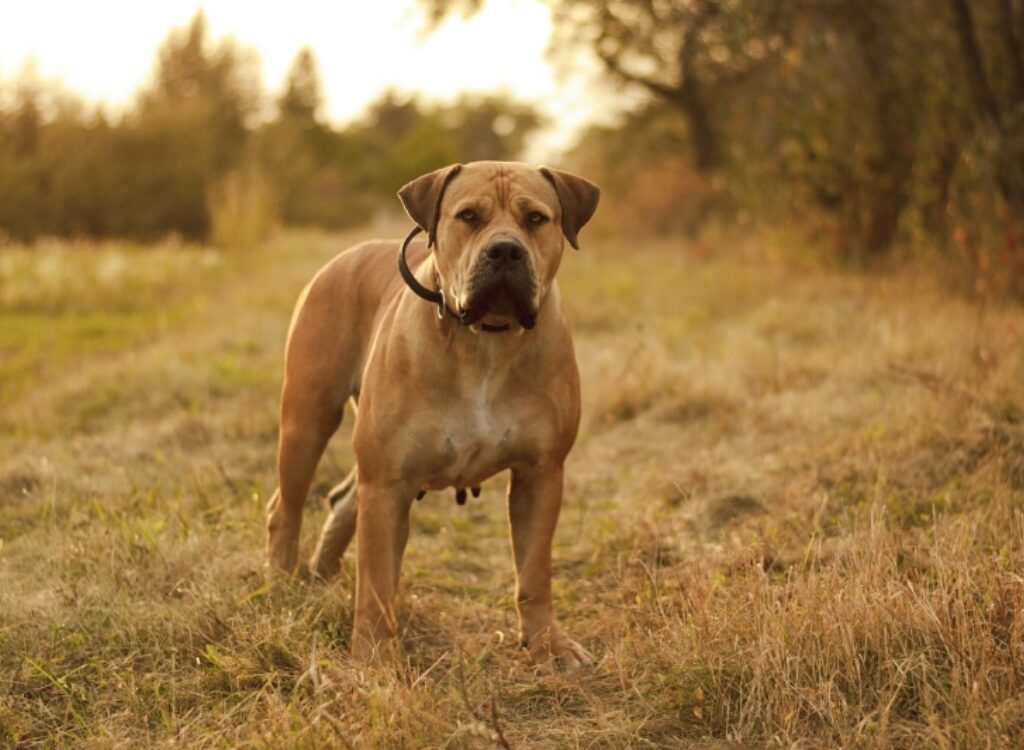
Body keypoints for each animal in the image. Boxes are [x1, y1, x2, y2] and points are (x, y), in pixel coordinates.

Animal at [264, 159, 598, 668]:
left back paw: (323, 579)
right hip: (309, 420)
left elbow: (534, 572)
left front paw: (548, 645)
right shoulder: (388, 483)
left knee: (342, 501)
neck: (487, 339)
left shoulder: (540, 474)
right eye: (469, 216)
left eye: (536, 219)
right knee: (286, 508)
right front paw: (374, 659)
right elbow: (377, 581)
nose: (505, 251)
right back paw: (283, 586)